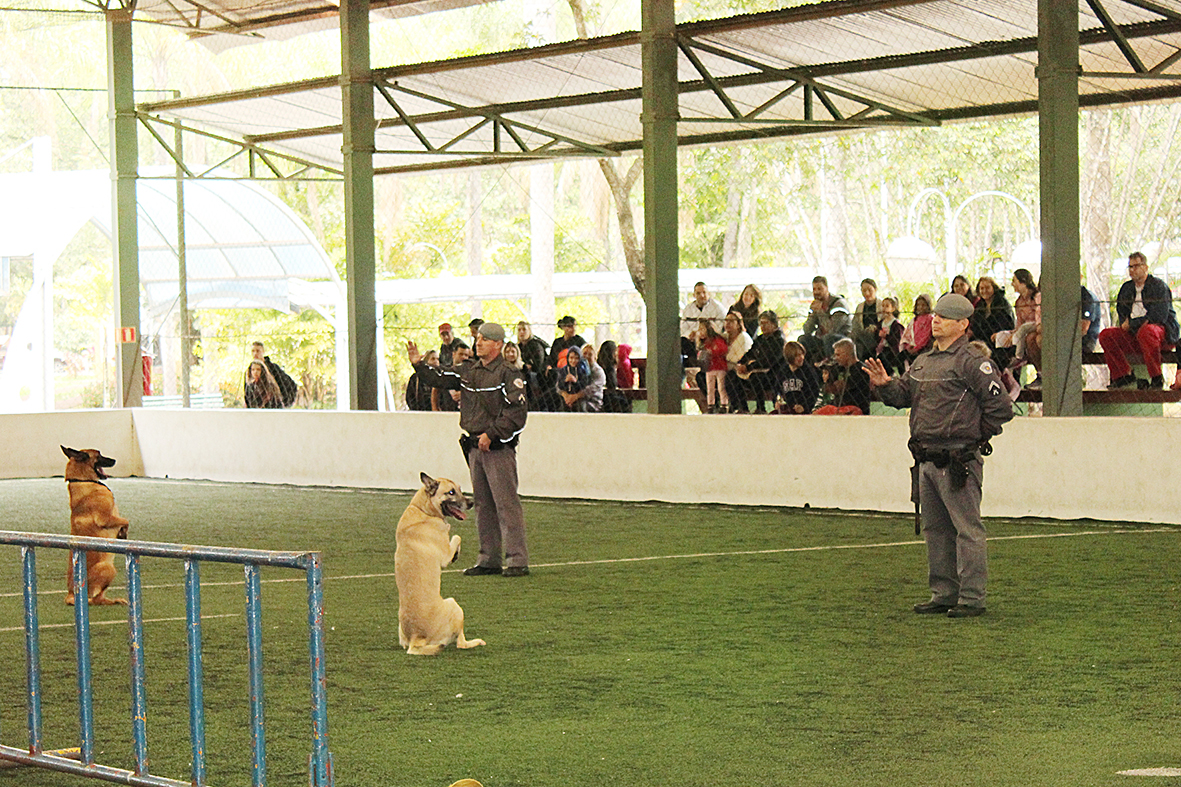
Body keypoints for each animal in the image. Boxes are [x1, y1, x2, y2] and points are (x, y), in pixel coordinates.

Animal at [61, 444, 129, 602]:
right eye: (99, 455)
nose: (114, 460)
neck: (82, 480)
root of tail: (70, 594)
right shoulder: (105, 518)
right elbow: (126, 520)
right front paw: (123, 531)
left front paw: (122, 534)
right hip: (108, 568)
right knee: (95, 599)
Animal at [396, 472, 484, 657]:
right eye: (450, 492)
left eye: (459, 489)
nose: (471, 503)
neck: (423, 509)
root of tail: (416, 637)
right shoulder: (445, 553)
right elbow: (457, 536)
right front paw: (456, 554)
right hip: (455, 606)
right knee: (461, 643)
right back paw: (476, 642)